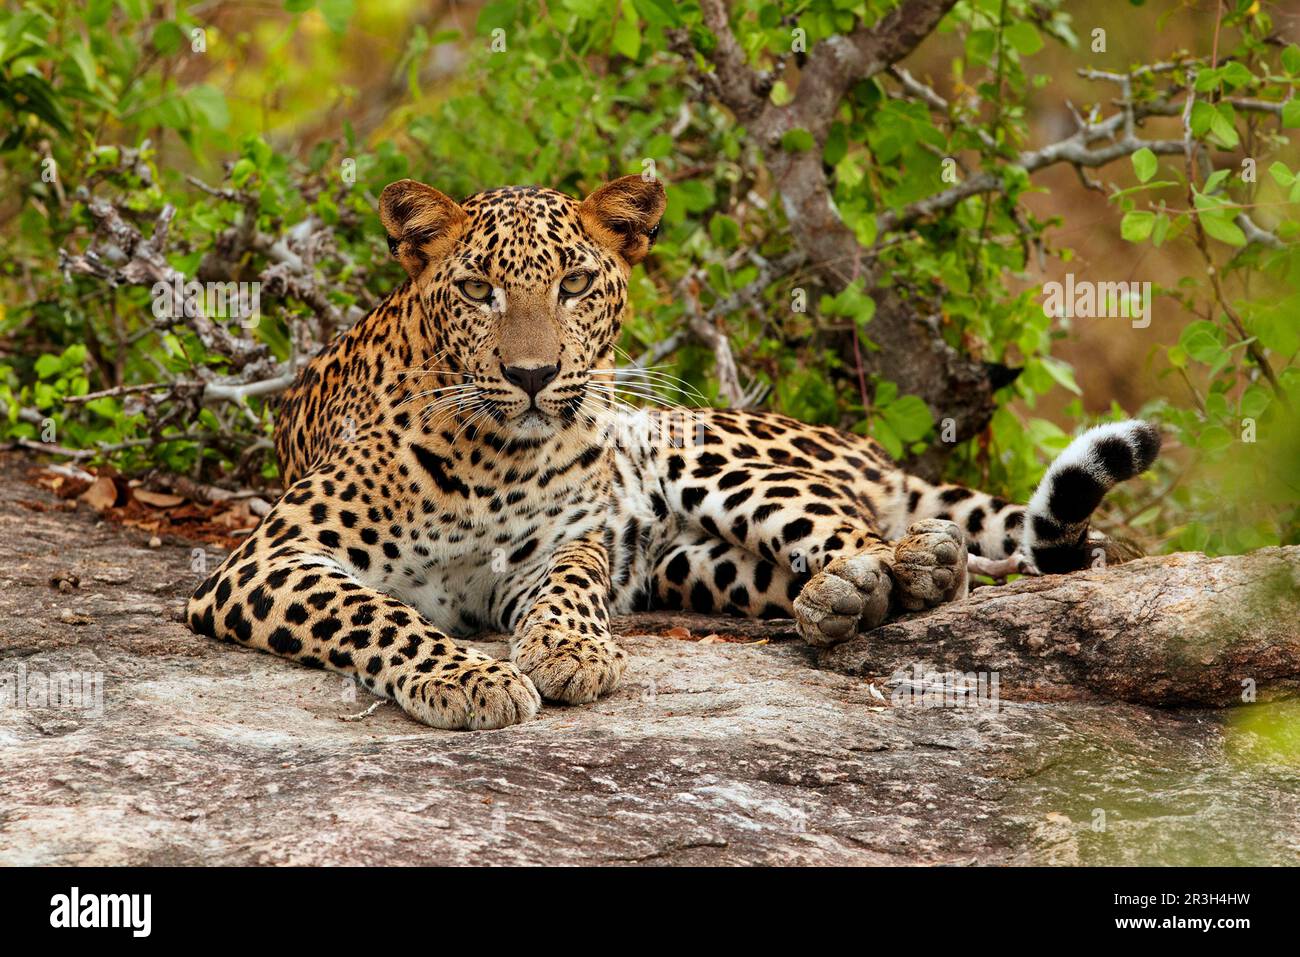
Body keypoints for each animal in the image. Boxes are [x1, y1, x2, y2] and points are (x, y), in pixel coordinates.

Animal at [180, 175, 1159, 728]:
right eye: (478, 288)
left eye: (575, 282)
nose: (533, 375)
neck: (495, 456)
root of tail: (859, 444)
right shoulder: (268, 560)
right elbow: (379, 613)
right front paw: (465, 675)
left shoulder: (556, 547)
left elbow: (571, 586)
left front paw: (569, 652)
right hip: (694, 565)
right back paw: (841, 599)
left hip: (703, 451)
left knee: (866, 531)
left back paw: (897, 568)